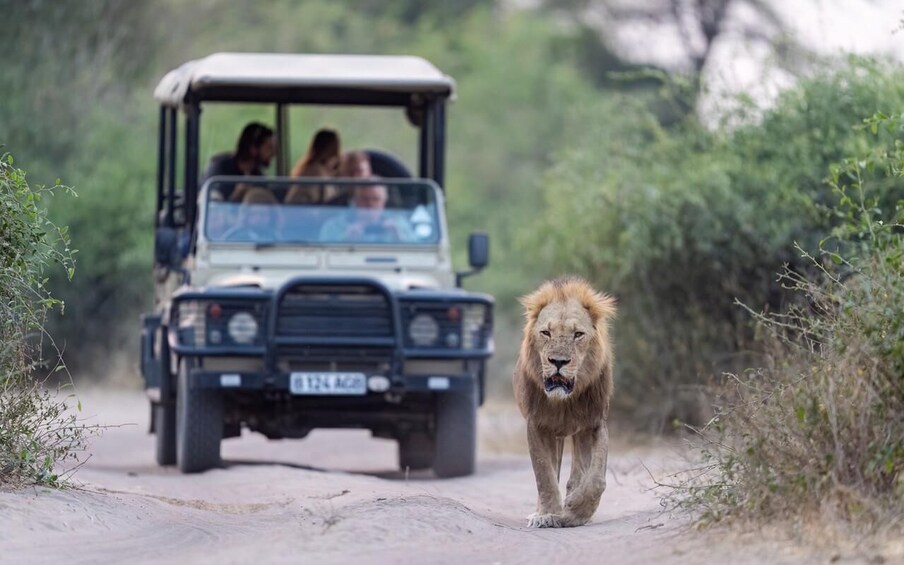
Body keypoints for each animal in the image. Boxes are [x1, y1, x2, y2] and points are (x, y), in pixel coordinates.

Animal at [513, 276, 616, 528]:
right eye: (546, 333)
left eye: (578, 334)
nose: (558, 361)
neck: (564, 402)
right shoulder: (537, 425)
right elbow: (544, 476)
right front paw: (547, 515)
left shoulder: (595, 423)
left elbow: (596, 479)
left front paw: (576, 509)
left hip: (579, 434)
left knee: (579, 472)